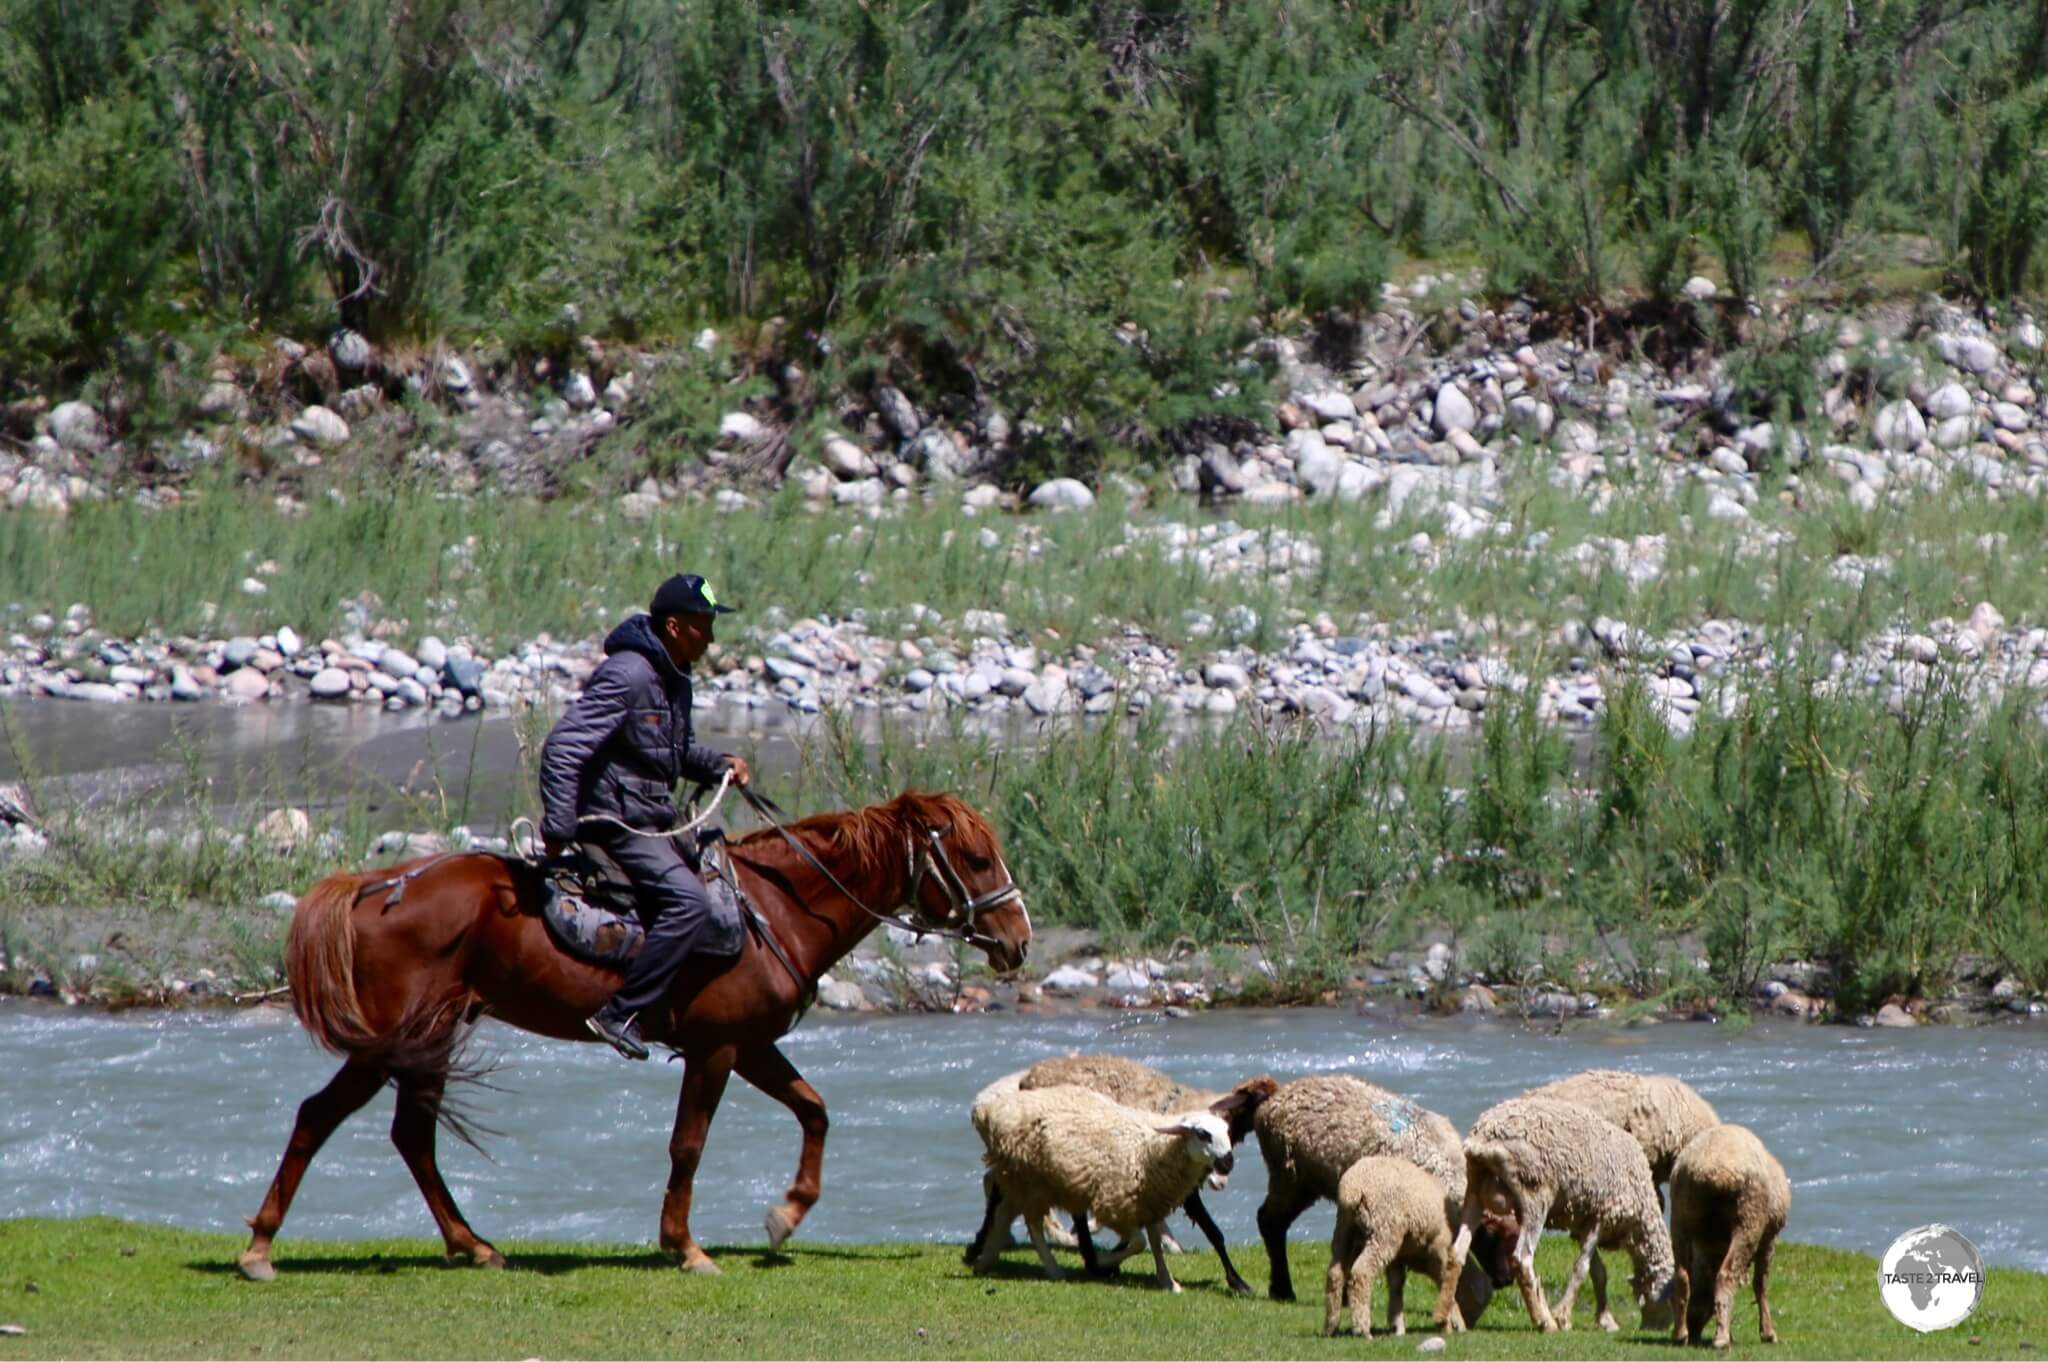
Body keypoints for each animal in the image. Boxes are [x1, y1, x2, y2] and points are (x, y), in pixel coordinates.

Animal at [239, 786, 1032, 1278]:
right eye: (976, 858)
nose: (1019, 940)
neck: (774, 907)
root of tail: (375, 887)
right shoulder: (716, 1049)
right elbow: (689, 1145)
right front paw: (686, 1247)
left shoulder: (750, 1045)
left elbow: (814, 1109)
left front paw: (785, 1215)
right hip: (391, 1043)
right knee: (320, 1117)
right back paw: (260, 1250)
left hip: (430, 1038)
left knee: (411, 1136)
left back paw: (474, 1245)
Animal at [1327, 1155, 1474, 1335]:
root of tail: (1353, 1189)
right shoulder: (1438, 1248)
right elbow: (1444, 1281)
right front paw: (1455, 1322)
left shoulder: (1399, 1257)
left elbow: (1396, 1284)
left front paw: (1397, 1326)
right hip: (1383, 1232)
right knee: (1361, 1272)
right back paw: (1362, 1328)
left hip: (1345, 1230)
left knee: (1335, 1273)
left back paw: (1331, 1325)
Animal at [1441, 1097, 1679, 1327]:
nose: (1652, 1328)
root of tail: (1483, 1136)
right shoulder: (1602, 1216)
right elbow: (1582, 1268)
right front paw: (1562, 1316)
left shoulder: (1583, 1222)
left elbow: (1598, 1273)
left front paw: (1604, 1319)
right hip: (1534, 1192)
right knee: (1522, 1259)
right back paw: (1544, 1322)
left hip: (1475, 1188)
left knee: (1457, 1251)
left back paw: (1445, 1318)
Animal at [1671, 1122, 1785, 1343]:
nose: (1693, 1326)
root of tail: (1712, 1170)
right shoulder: (1769, 1237)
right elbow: (1760, 1283)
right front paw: (1768, 1333)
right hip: (1748, 1219)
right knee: (1726, 1275)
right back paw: (1721, 1340)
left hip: (1681, 1215)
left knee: (1682, 1276)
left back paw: (1680, 1335)